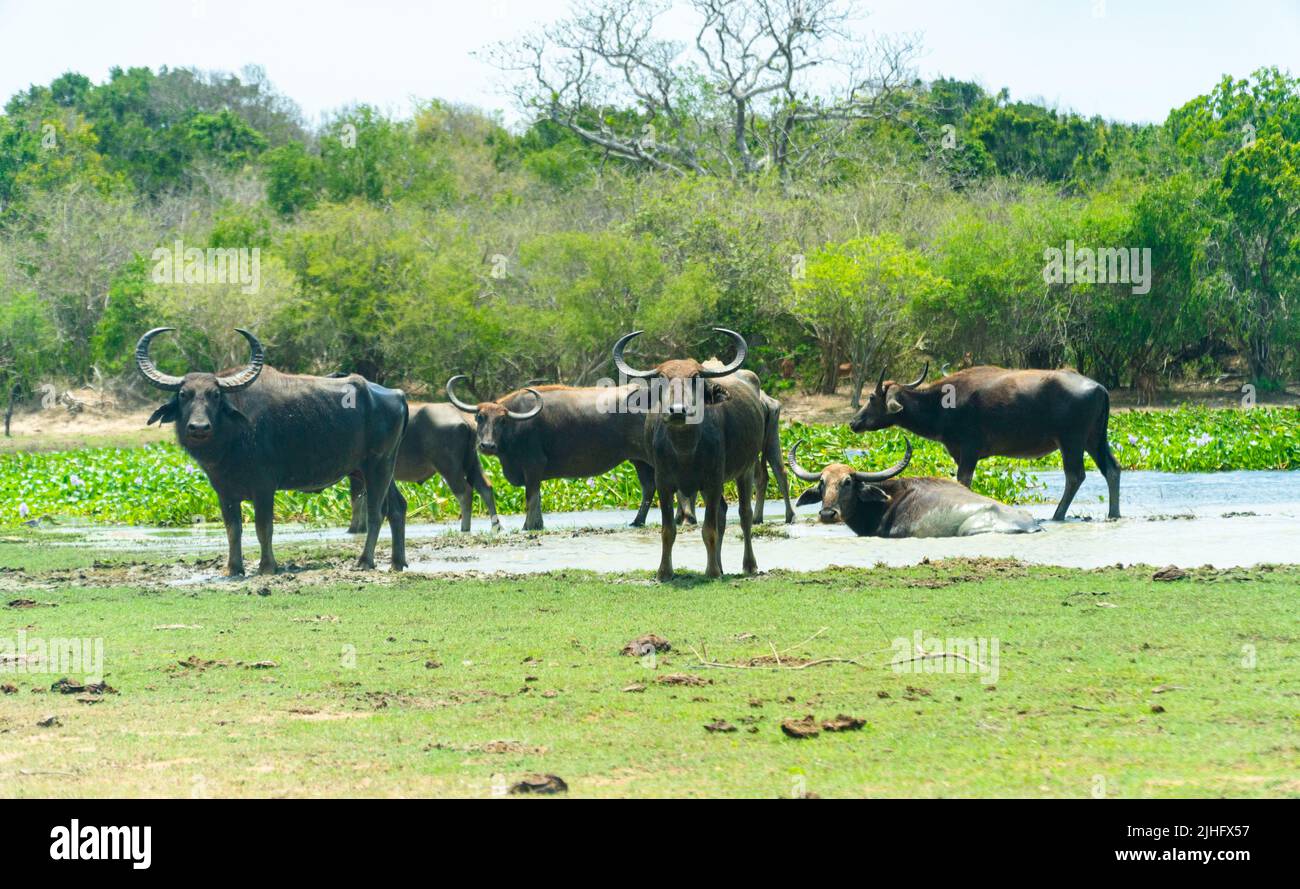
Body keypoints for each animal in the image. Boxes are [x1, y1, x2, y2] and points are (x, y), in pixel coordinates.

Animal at [136, 328, 408, 575]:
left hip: (378, 466)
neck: (231, 440)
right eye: (184, 395)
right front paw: (233, 568)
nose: (199, 427)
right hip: (373, 470)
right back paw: (397, 562)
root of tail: (397, 394)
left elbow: (263, 527)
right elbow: (233, 529)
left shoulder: (264, 487)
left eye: (215, 395)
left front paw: (267, 566)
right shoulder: (224, 492)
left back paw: (365, 561)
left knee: (376, 512)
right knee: (397, 507)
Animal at [613, 328, 765, 580]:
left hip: (747, 467)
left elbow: (709, 529)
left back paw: (749, 565)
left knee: (744, 514)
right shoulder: (663, 483)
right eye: (662, 379)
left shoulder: (713, 481)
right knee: (723, 512)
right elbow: (668, 530)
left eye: (695, 378)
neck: (684, 449)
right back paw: (721, 565)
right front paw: (664, 572)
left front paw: (711, 572)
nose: (677, 411)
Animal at [850, 364, 1120, 521]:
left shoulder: (969, 451)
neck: (941, 404)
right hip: (1094, 439)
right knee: (1112, 468)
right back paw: (1113, 513)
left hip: (1071, 441)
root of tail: (1099, 387)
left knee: (1075, 475)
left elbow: (963, 482)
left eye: (872, 397)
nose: (854, 422)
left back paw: (1057, 515)